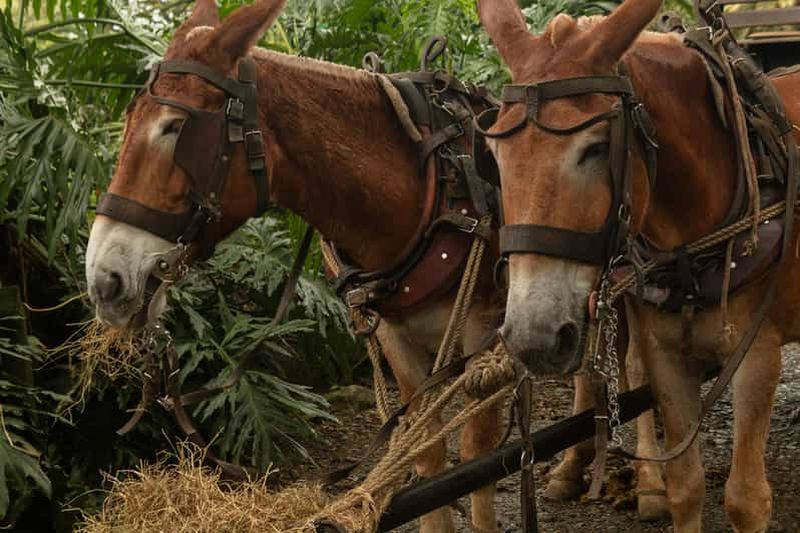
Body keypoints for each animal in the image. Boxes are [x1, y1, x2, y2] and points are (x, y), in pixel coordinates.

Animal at [478, 0, 800, 530]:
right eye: (494, 154)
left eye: (595, 148)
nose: (531, 336)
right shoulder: (664, 351)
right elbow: (686, 488)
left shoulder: (757, 353)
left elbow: (745, 499)